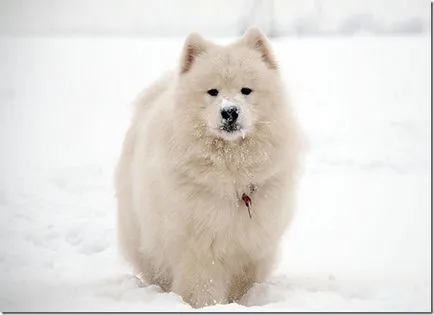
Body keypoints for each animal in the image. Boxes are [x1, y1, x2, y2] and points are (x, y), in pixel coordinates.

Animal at [117, 27, 304, 308]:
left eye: (246, 90)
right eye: (213, 91)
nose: (230, 112)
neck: (233, 175)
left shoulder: (252, 246)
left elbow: (243, 283)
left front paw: (240, 303)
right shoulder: (200, 248)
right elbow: (202, 288)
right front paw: (206, 306)